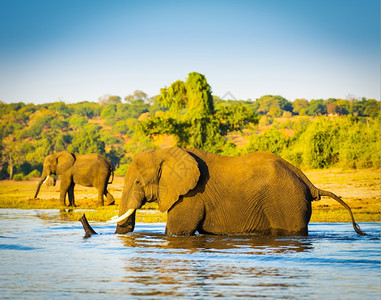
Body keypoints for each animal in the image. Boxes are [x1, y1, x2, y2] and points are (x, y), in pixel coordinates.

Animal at [105, 148, 364, 237]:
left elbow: (176, 232)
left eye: (138, 182)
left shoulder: (190, 197)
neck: (165, 153)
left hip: (288, 203)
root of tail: (308, 182)